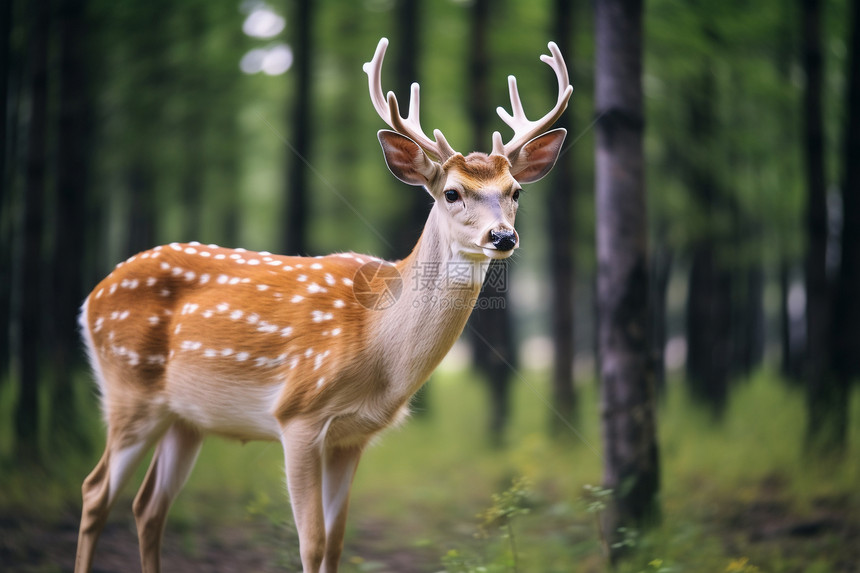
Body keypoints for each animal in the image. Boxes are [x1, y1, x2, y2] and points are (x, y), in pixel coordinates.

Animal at [74, 36, 572, 572]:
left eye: (515, 191)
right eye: (453, 193)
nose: (503, 236)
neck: (378, 348)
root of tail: (91, 298)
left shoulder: (353, 436)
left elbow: (335, 542)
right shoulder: (298, 414)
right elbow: (310, 542)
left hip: (186, 417)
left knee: (149, 507)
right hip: (128, 389)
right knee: (95, 491)